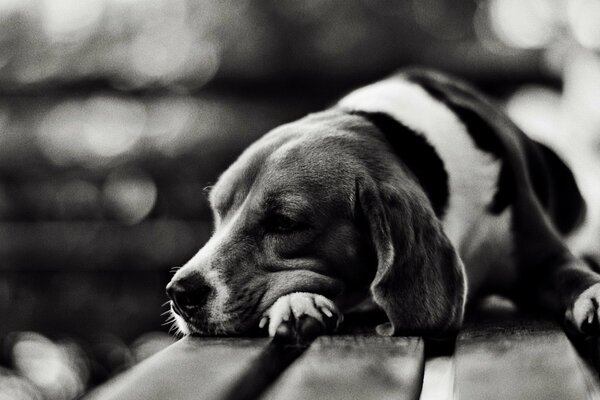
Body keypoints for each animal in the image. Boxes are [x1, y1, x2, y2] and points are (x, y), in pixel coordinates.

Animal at [166, 69, 600, 340]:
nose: (179, 293)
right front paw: (294, 303)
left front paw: (593, 295)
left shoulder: (542, 255)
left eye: (284, 223)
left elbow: (571, 274)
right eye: (218, 213)